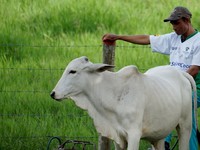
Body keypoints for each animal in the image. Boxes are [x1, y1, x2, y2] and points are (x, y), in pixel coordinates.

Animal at [50, 56, 197, 150]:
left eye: (73, 71)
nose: (53, 93)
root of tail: (180, 73)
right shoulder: (118, 137)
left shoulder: (134, 135)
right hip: (159, 135)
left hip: (185, 126)